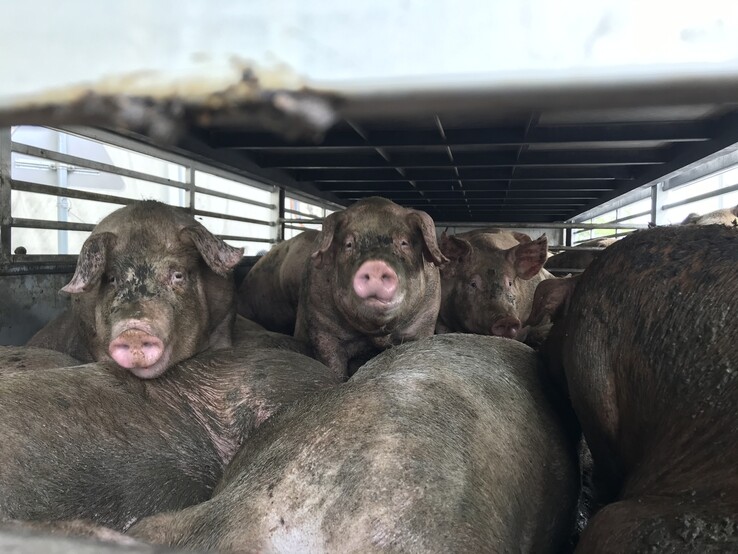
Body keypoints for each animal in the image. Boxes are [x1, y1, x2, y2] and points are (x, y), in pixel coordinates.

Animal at [292, 196, 442, 378]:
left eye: (404, 243)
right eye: (349, 244)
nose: (376, 266)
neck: (377, 335)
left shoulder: (425, 320)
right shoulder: (322, 327)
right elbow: (333, 363)